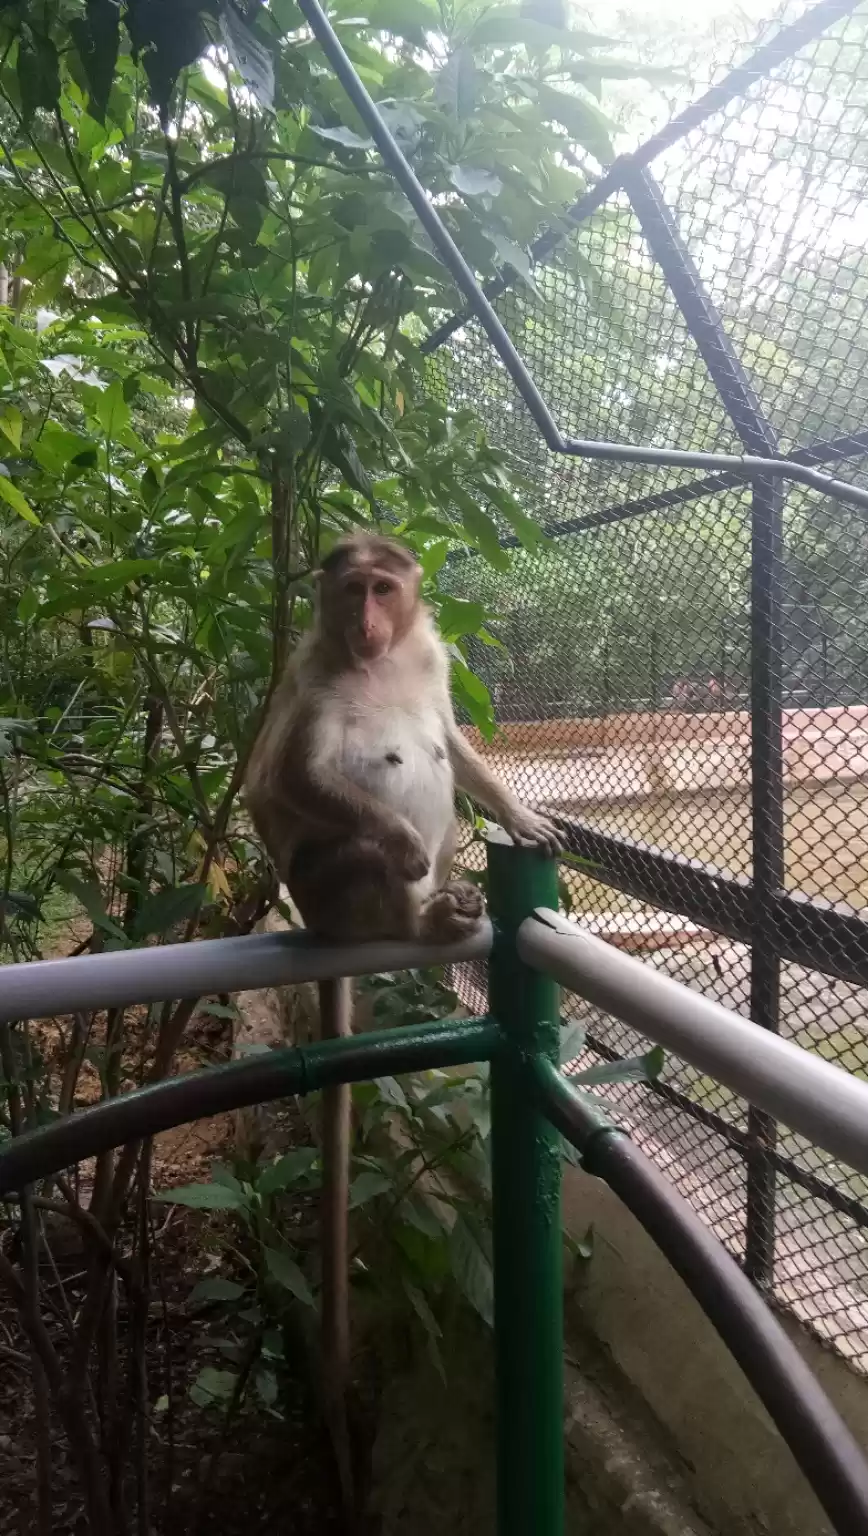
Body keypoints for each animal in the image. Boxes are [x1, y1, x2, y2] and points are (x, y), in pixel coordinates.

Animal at [244, 533, 561, 1519]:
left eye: (385, 588)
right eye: (351, 590)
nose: (367, 619)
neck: (373, 662)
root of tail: (328, 933)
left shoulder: (431, 653)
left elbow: (450, 741)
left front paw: (521, 813)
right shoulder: (307, 671)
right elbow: (283, 781)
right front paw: (402, 841)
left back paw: (448, 909)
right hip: (328, 895)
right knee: (347, 845)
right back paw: (418, 908)